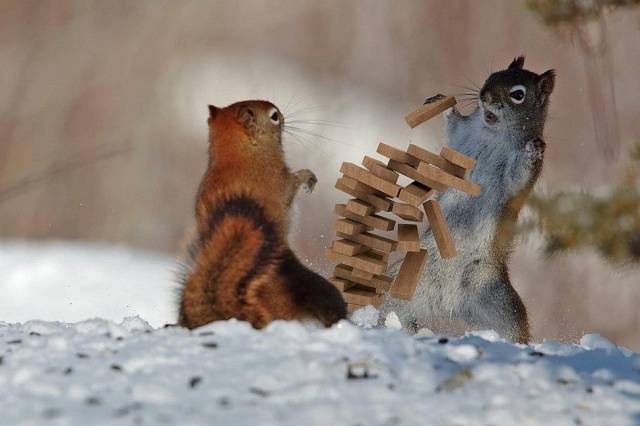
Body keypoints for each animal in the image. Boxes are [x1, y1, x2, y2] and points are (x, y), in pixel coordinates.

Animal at [178, 100, 346, 329]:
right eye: (274, 116)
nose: (283, 116)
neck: (236, 152)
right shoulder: (280, 182)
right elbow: (294, 181)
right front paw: (309, 178)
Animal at [382, 56, 555, 343]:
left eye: (518, 95)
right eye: (491, 77)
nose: (484, 96)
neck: (492, 132)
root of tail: (448, 304)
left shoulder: (517, 180)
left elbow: (517, 176)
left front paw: (533, 149)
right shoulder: (462, 137)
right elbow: (454, 127)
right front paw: (442, 103)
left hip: (494, 298)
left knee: (513, 326)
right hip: (402, 282)